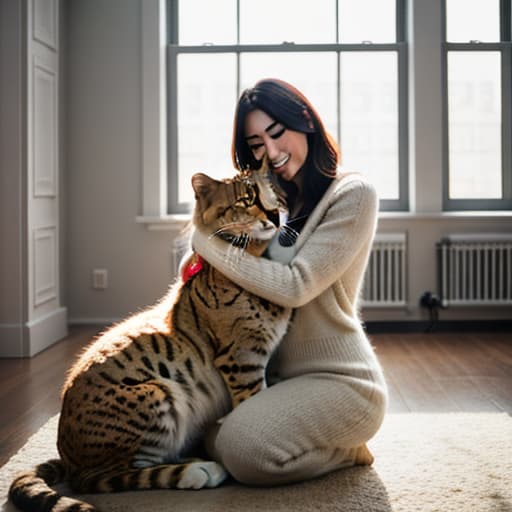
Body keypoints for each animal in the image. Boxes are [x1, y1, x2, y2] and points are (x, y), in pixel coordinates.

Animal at [8, 164, 290, 512]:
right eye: (247, 199)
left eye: (274, 195)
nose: (276, 216)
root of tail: (67, 455)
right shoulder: (242, 358)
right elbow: (254, 401)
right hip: (156, 393)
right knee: (103, 477)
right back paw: (197, 471)